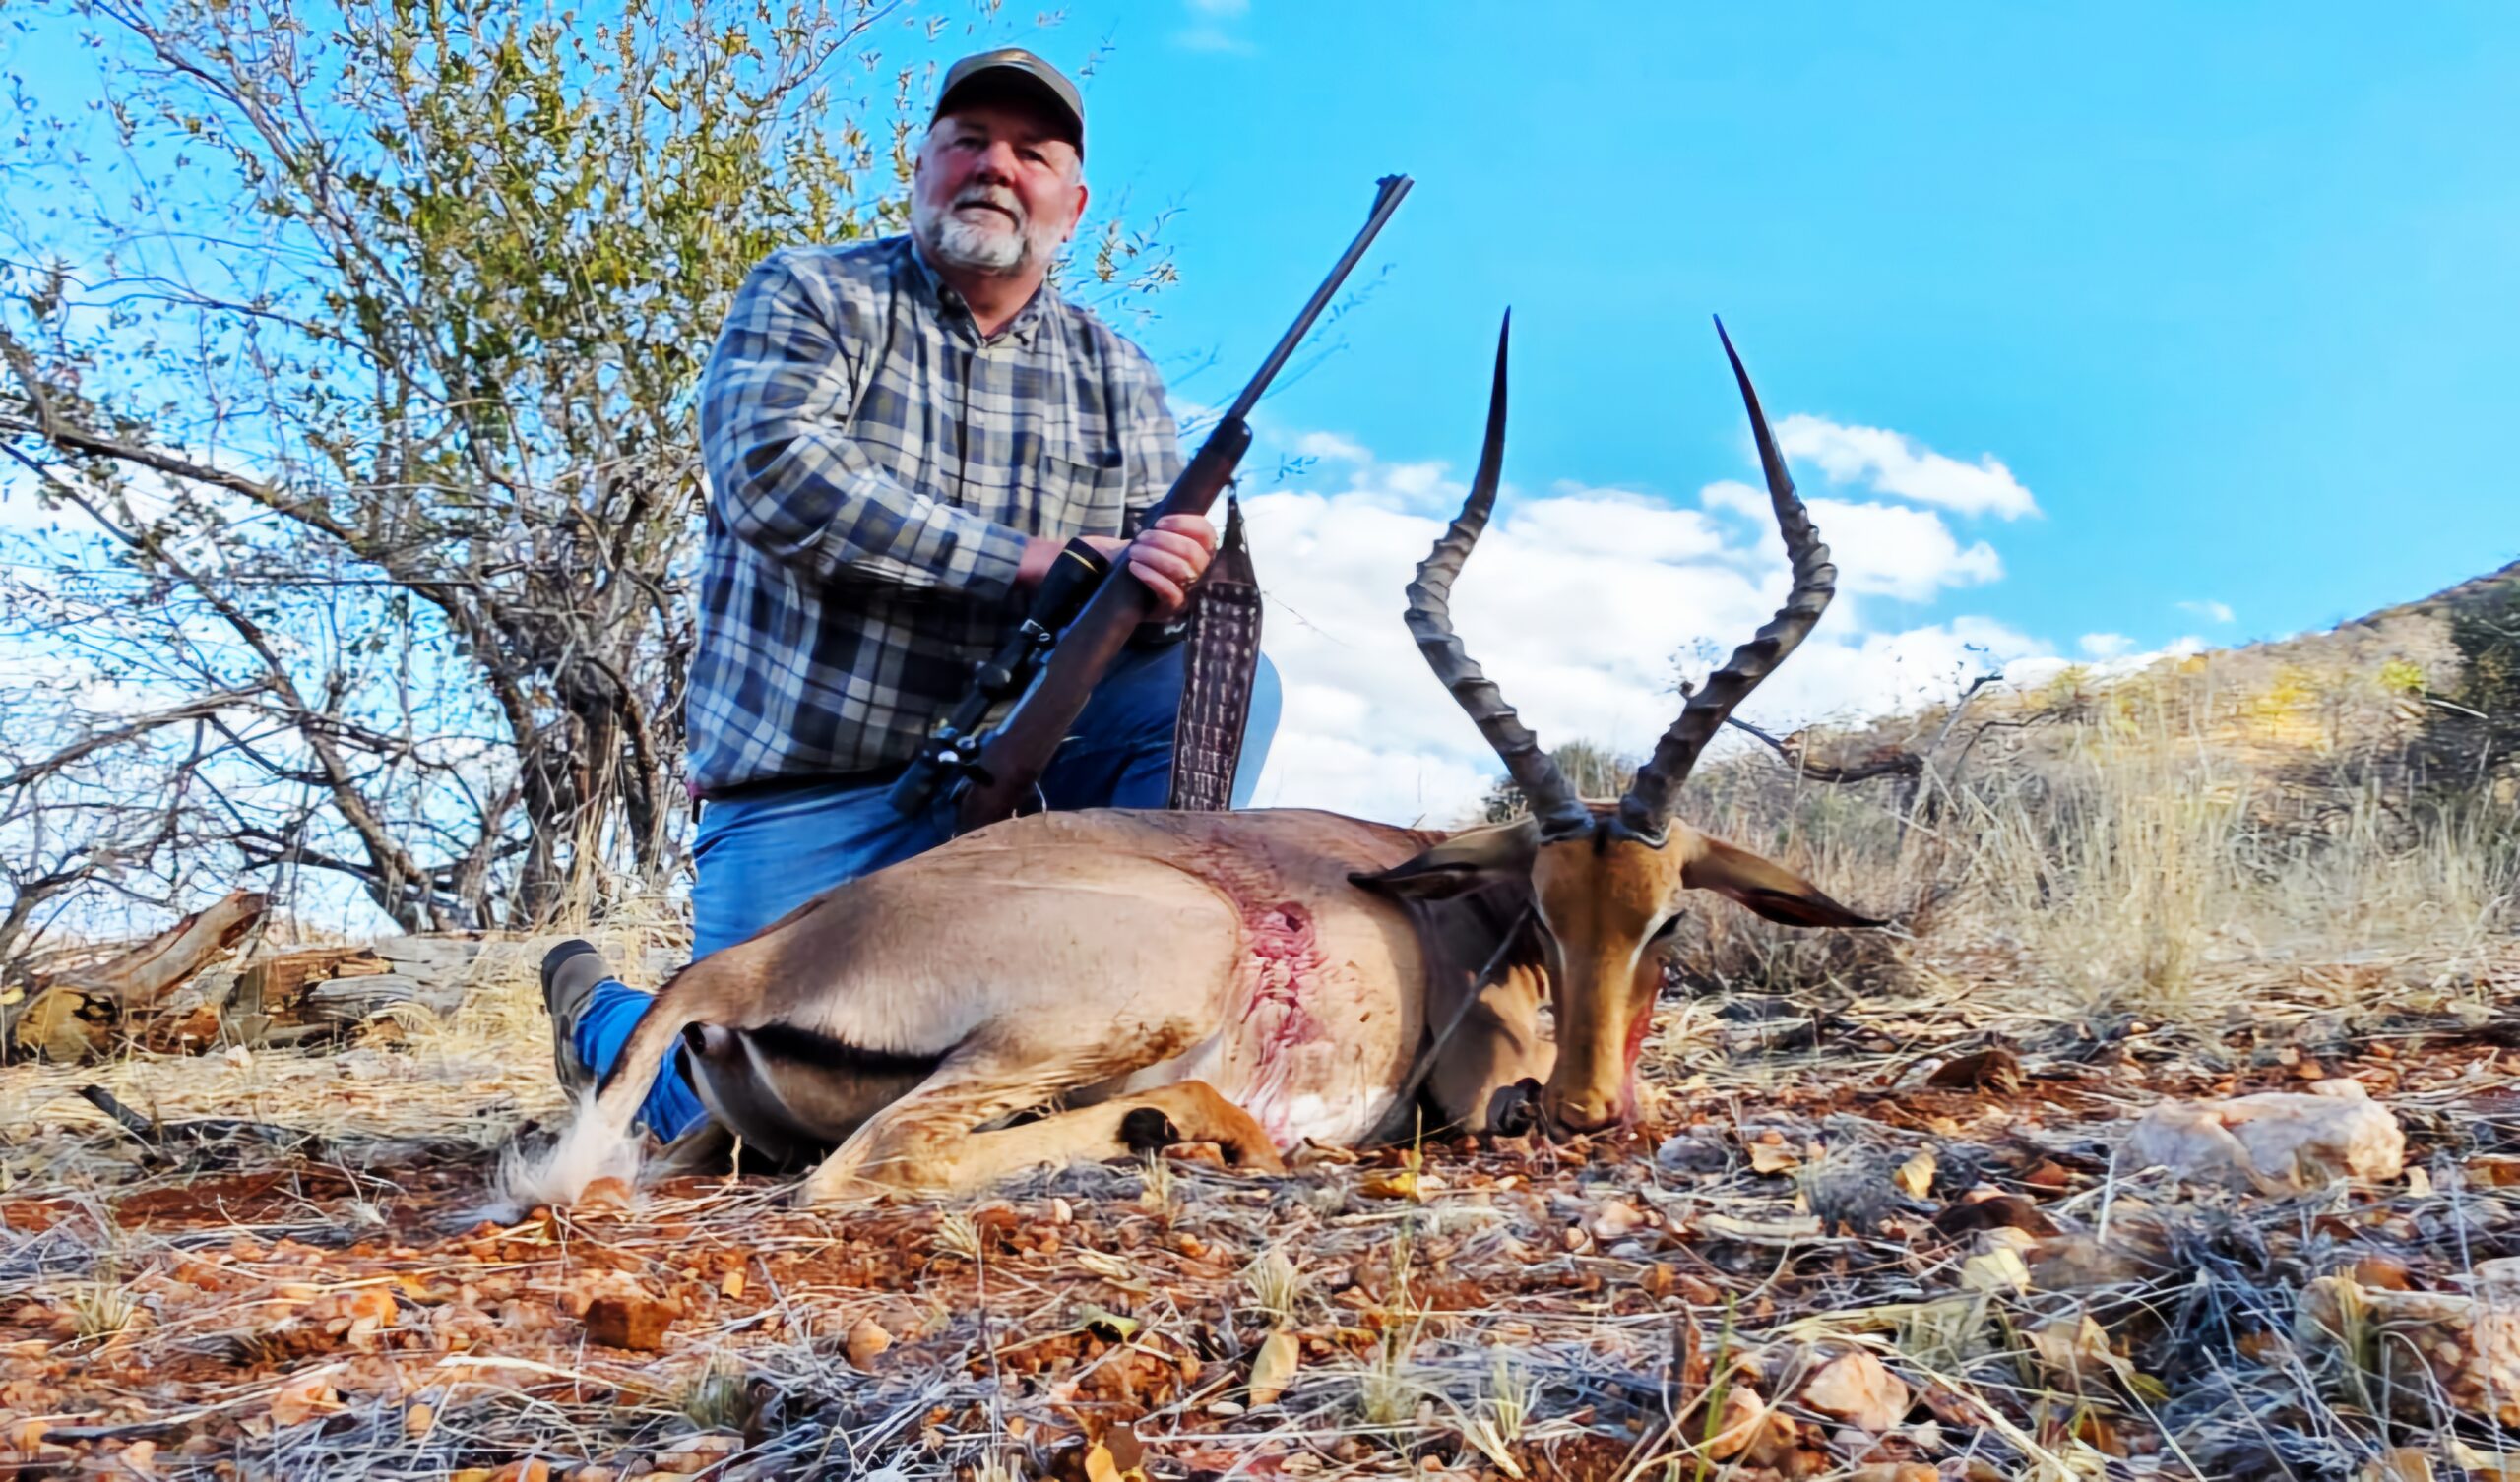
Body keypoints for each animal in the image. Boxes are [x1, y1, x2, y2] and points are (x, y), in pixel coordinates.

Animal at [507, 317, 1880, 1208]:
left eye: (1666, 920)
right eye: (1545, 916)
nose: (1586, 1113)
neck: (1449, 907)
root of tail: (745, 965)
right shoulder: (1480, 1084)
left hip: (718, 1130)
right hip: (1120, 1005)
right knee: (874, 1166)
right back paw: (1198, 1128)